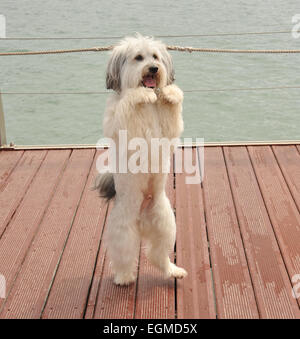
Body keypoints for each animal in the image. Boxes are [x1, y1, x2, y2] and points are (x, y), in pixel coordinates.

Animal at [95, 34, 186, 286]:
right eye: (138, 58)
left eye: (155, 57)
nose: (154, 68)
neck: (151, 105)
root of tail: (142, 218)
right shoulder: (124, 124)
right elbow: (130, 101)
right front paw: (139, 95)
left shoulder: (169, 127)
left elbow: (172, 111)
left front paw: (171, 93)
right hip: (124, 230)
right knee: (124, 255)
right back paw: (124, 277)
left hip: (166, 224)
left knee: (157, 255)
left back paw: (172, 270)